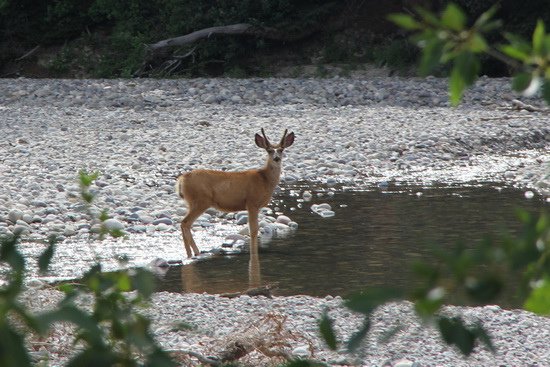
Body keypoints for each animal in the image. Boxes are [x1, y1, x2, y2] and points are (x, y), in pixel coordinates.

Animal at [178, 129, 298, 258]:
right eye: (269, 150)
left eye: (281, 150)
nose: (276, 158)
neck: (264, 180)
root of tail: (182, 179)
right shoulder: (252, 202)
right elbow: (254, 230)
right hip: (201, 200)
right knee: (185, 222)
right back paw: (194, 253)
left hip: (192, 202)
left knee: (184, 223)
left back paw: (192, 253)